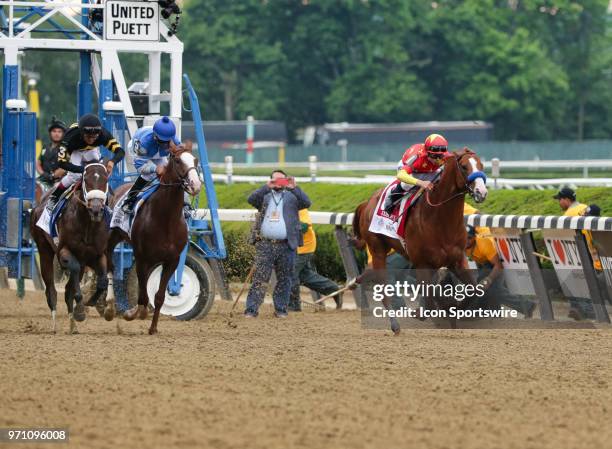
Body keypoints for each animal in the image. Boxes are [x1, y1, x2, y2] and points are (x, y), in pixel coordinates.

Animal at [30, 162, 111, 332]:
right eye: (86, 180)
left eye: (106, 180)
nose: (96, 209)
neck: (87, 225)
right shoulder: (64, 252)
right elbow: (73, 277)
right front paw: (80, 309)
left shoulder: (97, 255)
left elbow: (102, 280)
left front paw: (91, 301)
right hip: (44, 249)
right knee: (51, 289)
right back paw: (55, 323)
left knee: (68, 289)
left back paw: (73, 325)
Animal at [106, 142, 201, 334]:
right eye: (178, 160)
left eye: (195, 160)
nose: (195, 184)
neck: (166, 219)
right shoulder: (142, 258)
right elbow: (143, 293)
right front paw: (134, 313)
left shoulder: (172, 260)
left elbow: (159, 296)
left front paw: (153, 327)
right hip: (113, 235)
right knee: (110, 266)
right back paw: (110, 307)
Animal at [354, 147, 488, 332]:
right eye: (463, 166)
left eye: (481, 165)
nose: (481, 192)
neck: (440, 220)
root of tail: (367, 203)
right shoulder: (422, 263)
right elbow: (430, 303)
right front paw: (427, 313)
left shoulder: (457, 259)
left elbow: (474, 289)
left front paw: (454, 311)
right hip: (377, 249)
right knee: (383, 287)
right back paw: (395, 324)